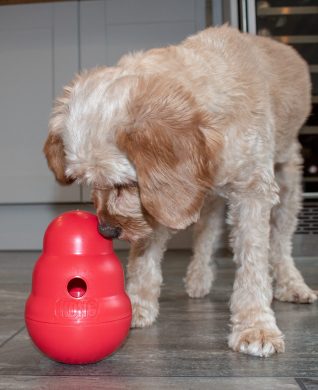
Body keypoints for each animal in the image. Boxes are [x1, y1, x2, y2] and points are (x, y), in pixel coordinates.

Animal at [43, 25, 316, 358]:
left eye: (124, 183)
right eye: (88, 181)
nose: (107, 231)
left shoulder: (253, 190)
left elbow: (253, 261)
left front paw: (256, 326)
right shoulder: (165, 199)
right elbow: (145, 256)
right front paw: (137, 304)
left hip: (289, 180)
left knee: (280, 242)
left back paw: (292, 284)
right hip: (208, 197)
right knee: (206, 231)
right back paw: (199, 277)